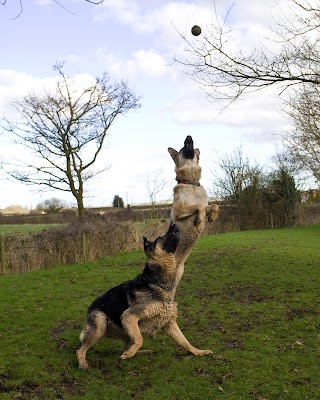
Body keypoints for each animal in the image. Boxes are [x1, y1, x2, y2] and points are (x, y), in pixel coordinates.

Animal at [76, 223, 212, 368]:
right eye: (160, 238)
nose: (174, 224)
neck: (158, 284)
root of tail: (90, 307)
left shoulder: (169, 323)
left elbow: (185, 342)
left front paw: (198, 352)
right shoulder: (129, 316)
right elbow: (139, 339)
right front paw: (130, 353)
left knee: (123, 347)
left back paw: (139, 352)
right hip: (101, 323)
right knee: (80, 350)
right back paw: (83, 363)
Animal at [169, 138, 219, 288]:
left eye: (189, 142)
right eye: (182, 147)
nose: (189, 137)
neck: (191, 184)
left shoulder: (206, 205)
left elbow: (214, 205)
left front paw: (212, 217)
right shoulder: (177, 210)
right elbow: (198, 207)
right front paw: (199, 220)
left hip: (177, 275)